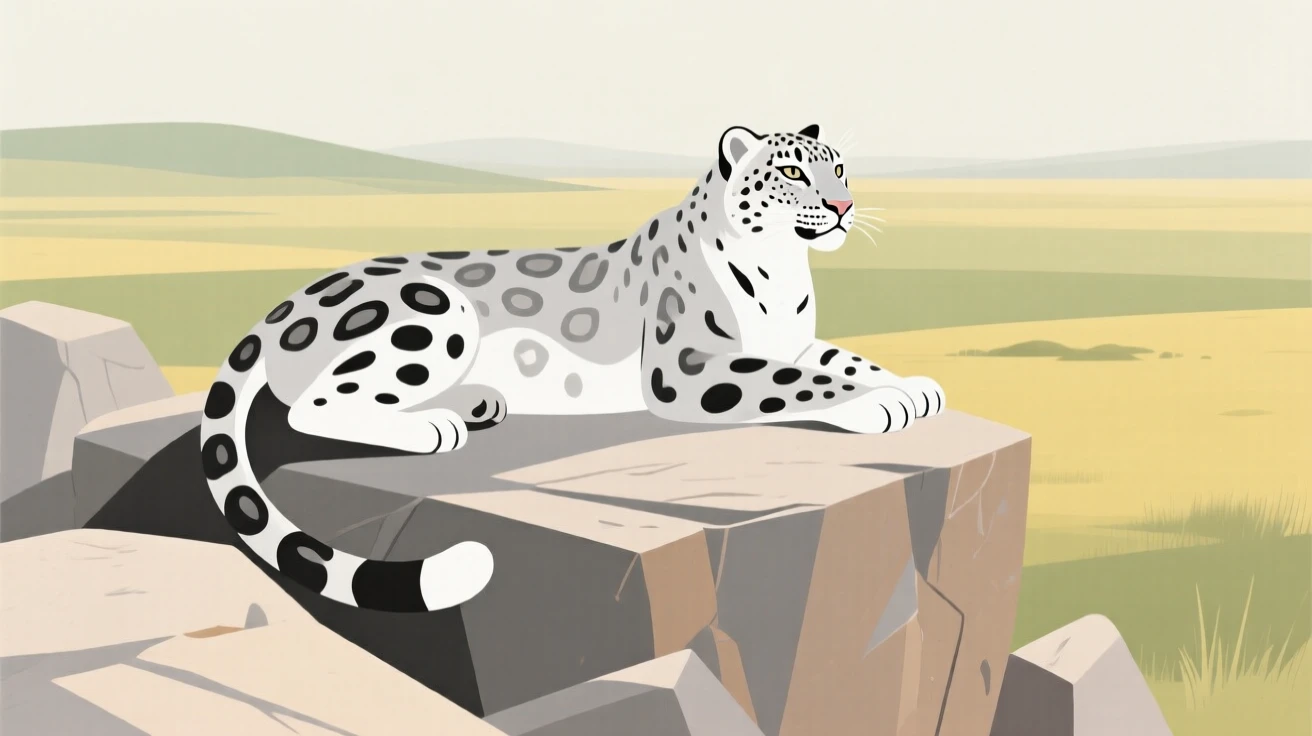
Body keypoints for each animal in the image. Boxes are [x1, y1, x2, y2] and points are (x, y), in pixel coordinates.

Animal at [199, 123, 947, 615]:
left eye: (840, 168)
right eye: (792, 172)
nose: (845, 205)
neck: (783, 271)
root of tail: (289, 300)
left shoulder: (796, 340)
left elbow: (843, 358)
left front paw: (913, 388)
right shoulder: (690, 366)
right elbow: (795, 383)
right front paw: (879, 404)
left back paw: (476, 404)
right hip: (431, 312)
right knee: (315, 406)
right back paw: (436, 427)